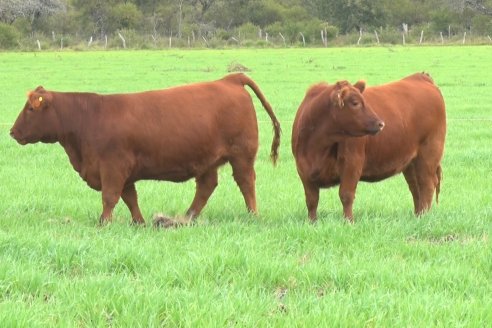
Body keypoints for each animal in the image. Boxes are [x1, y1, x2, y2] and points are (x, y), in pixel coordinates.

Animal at [10, 73, 280, 224]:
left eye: (31, 109)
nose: (12, 132)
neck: (89, 118)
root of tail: (230, 79)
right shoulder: (124, 173)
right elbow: (130, 198)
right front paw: (139, 222)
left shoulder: (113, 167)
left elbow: (110, 197)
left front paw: (103, 223)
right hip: (208, 160)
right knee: (206, 186)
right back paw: (187, 217)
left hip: (241, 156)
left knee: (246, 183)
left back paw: (252, 215)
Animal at [292, 73, 446, 223]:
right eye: (355, 103)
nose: (381, 123)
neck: (317, 146)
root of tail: (420, 77)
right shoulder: (303, 171)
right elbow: (311, 200)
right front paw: (312, 223)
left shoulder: (352, 164)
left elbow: (346, 195)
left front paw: (348, 222)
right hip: (411, 162)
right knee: (415, 187)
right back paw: (417, 215)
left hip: (429, 154)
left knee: (427, 184)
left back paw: (423, 216)